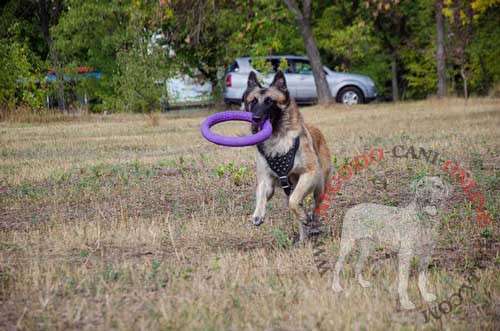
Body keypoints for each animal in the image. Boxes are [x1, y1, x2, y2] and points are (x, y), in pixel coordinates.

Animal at [243, 70, 332, 241]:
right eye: (253, 101)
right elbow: (261, 195)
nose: (256, 119)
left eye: (269, 101)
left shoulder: (309, 173)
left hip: (320, 185)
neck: (277, 140)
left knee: (315, 206)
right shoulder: (266, 180)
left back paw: (314, 226)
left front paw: (307, 219)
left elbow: (293, 201)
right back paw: (303, 238)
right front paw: (258, 214)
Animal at [332, 178, 450, 310]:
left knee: (357, 265)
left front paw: (425, 296)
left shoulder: (426, 256)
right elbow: (403, 282)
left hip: (367, 248)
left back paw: (362, 283)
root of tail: (350, 209)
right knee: (337, 265)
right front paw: (405, 303)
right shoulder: (405, 255)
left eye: (437, 186)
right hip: (347, 244)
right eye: (421, 185)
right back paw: (336, 287)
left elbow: (422, 279)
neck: (425, 221)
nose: (426, 193)